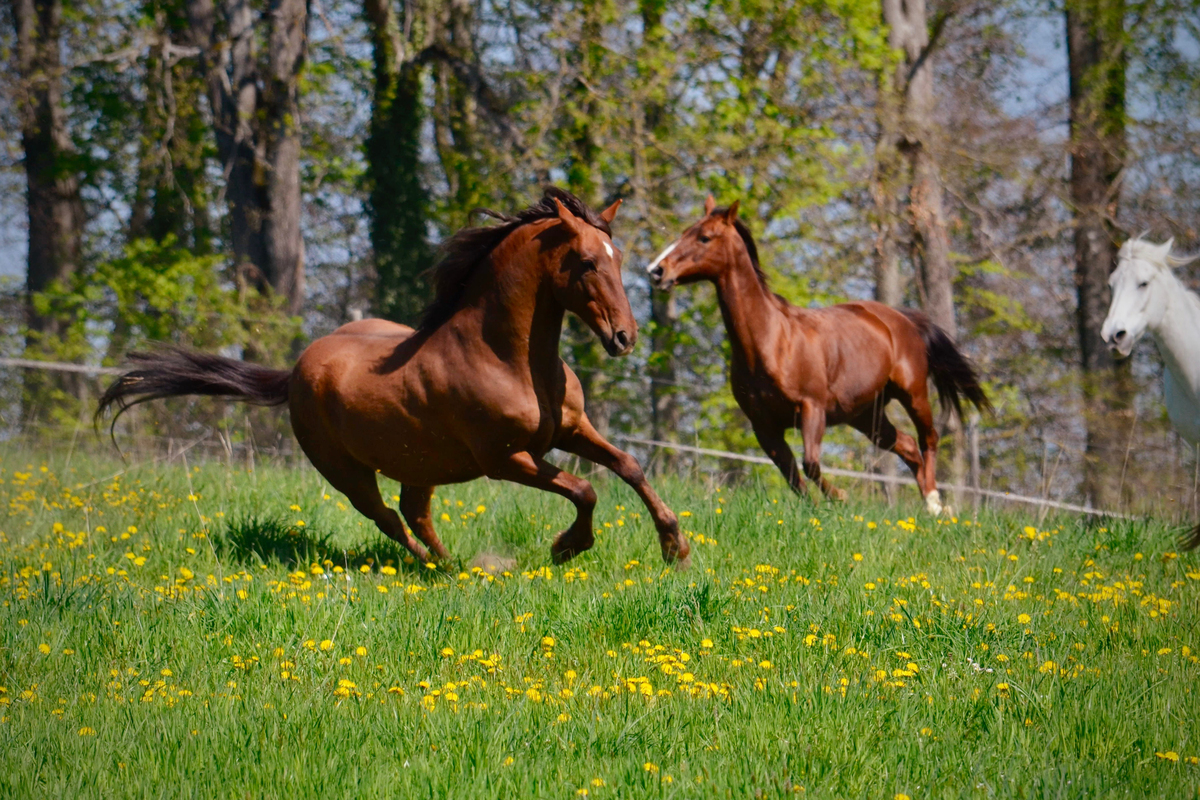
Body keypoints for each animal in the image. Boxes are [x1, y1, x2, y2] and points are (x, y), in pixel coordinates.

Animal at [98, 185, 691, 563]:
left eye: (618, 258)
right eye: (587, 262)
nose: (625, 338)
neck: (510, 360)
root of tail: (295, 372)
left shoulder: (570, 430)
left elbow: (628, 466)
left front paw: (675, 547)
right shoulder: (505, 460)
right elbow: (585, 488)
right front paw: (567, 547)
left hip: (419, 462)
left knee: (412, 511)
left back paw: (451, 566)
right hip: (345, 470)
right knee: (386, 516)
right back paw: (432, 568)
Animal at [652, 196, 988, 515]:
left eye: (704, 237)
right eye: (684, 232)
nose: (656, 271)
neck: (770, 341)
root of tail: (902, 318)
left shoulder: (812, 409)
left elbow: (810, 463)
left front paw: (840, 497)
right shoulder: (763, 426)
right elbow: (792, 476)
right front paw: (816, 509)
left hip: (913, 393)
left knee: (928, 438)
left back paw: (935, 503)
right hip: (865, 414)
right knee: (905, 445)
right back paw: (931, 506)